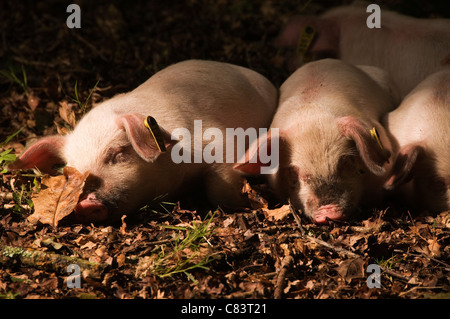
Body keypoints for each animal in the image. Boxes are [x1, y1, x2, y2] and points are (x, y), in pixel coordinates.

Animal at [9, 60, 278, 225]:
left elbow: (222, 186)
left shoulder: (220, 140)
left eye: (117, 153)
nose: (84, 204)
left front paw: (244, 204)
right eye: (69, 172)